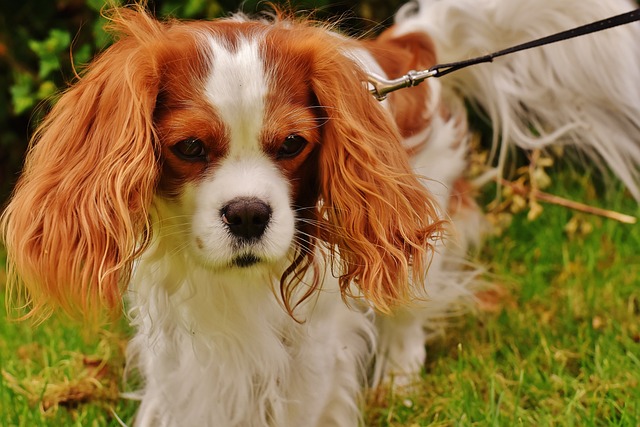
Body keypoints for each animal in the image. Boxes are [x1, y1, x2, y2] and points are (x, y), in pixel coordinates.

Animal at [1, 0, 640, 426]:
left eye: (292, 145)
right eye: (190, 148)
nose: (249, 214)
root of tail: (404, 51)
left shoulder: (313, 347)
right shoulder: (181, 347)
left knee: (408, 311)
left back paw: (399, 380)